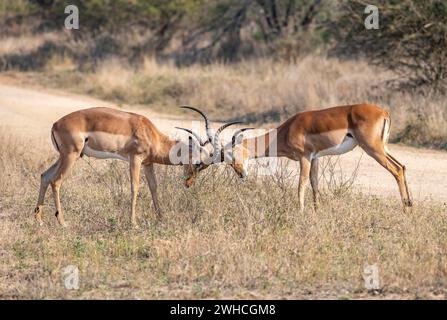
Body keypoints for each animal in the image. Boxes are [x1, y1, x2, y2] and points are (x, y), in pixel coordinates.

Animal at [34, 107, 210, 228]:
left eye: (203, 167)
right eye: (197, 163)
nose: (188, 183)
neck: (150, 133)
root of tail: (55, 124)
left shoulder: (148, 163)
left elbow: (154, 187)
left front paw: (161, 218)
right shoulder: (135, 159)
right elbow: (135, 187)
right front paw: (134, 223)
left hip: (64, 156)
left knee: (45, 176)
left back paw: (39, 220)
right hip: (71, 156)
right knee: (56, 181)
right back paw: (62, 222)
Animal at [184, 104, 414, 211]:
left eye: (233, 154)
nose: (241, 174)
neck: (286, 130)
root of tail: (383, 112)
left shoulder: (304, 157)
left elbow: (301, 184)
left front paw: (300, 212)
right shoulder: (316, 158)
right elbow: (315, 184)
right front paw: (316, 212)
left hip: (373, 149)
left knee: (396, 170)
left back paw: (405, 209)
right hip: (382, 148)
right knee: (402, 167)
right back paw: (410, 205)